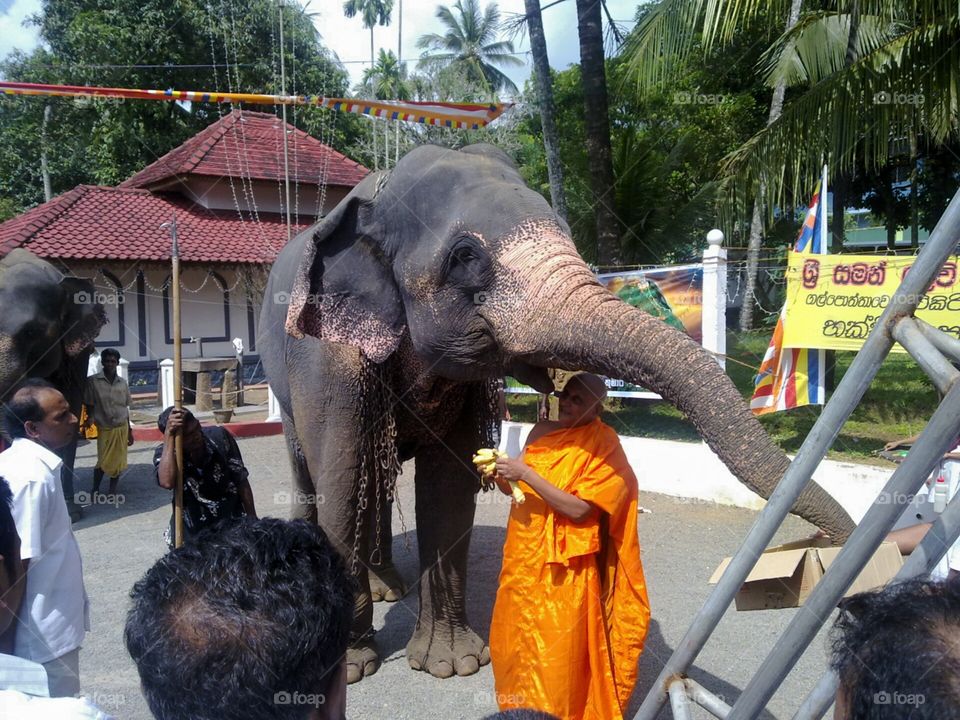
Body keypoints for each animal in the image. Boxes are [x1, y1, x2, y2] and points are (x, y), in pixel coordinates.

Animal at [256, 143, 856, 684]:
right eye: (465, 257)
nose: (834, 544)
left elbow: (448, 484)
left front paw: (453, 665)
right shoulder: (322, 357)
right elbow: (342, 474)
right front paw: (351, 668)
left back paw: (391, 589)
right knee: (315, 474)